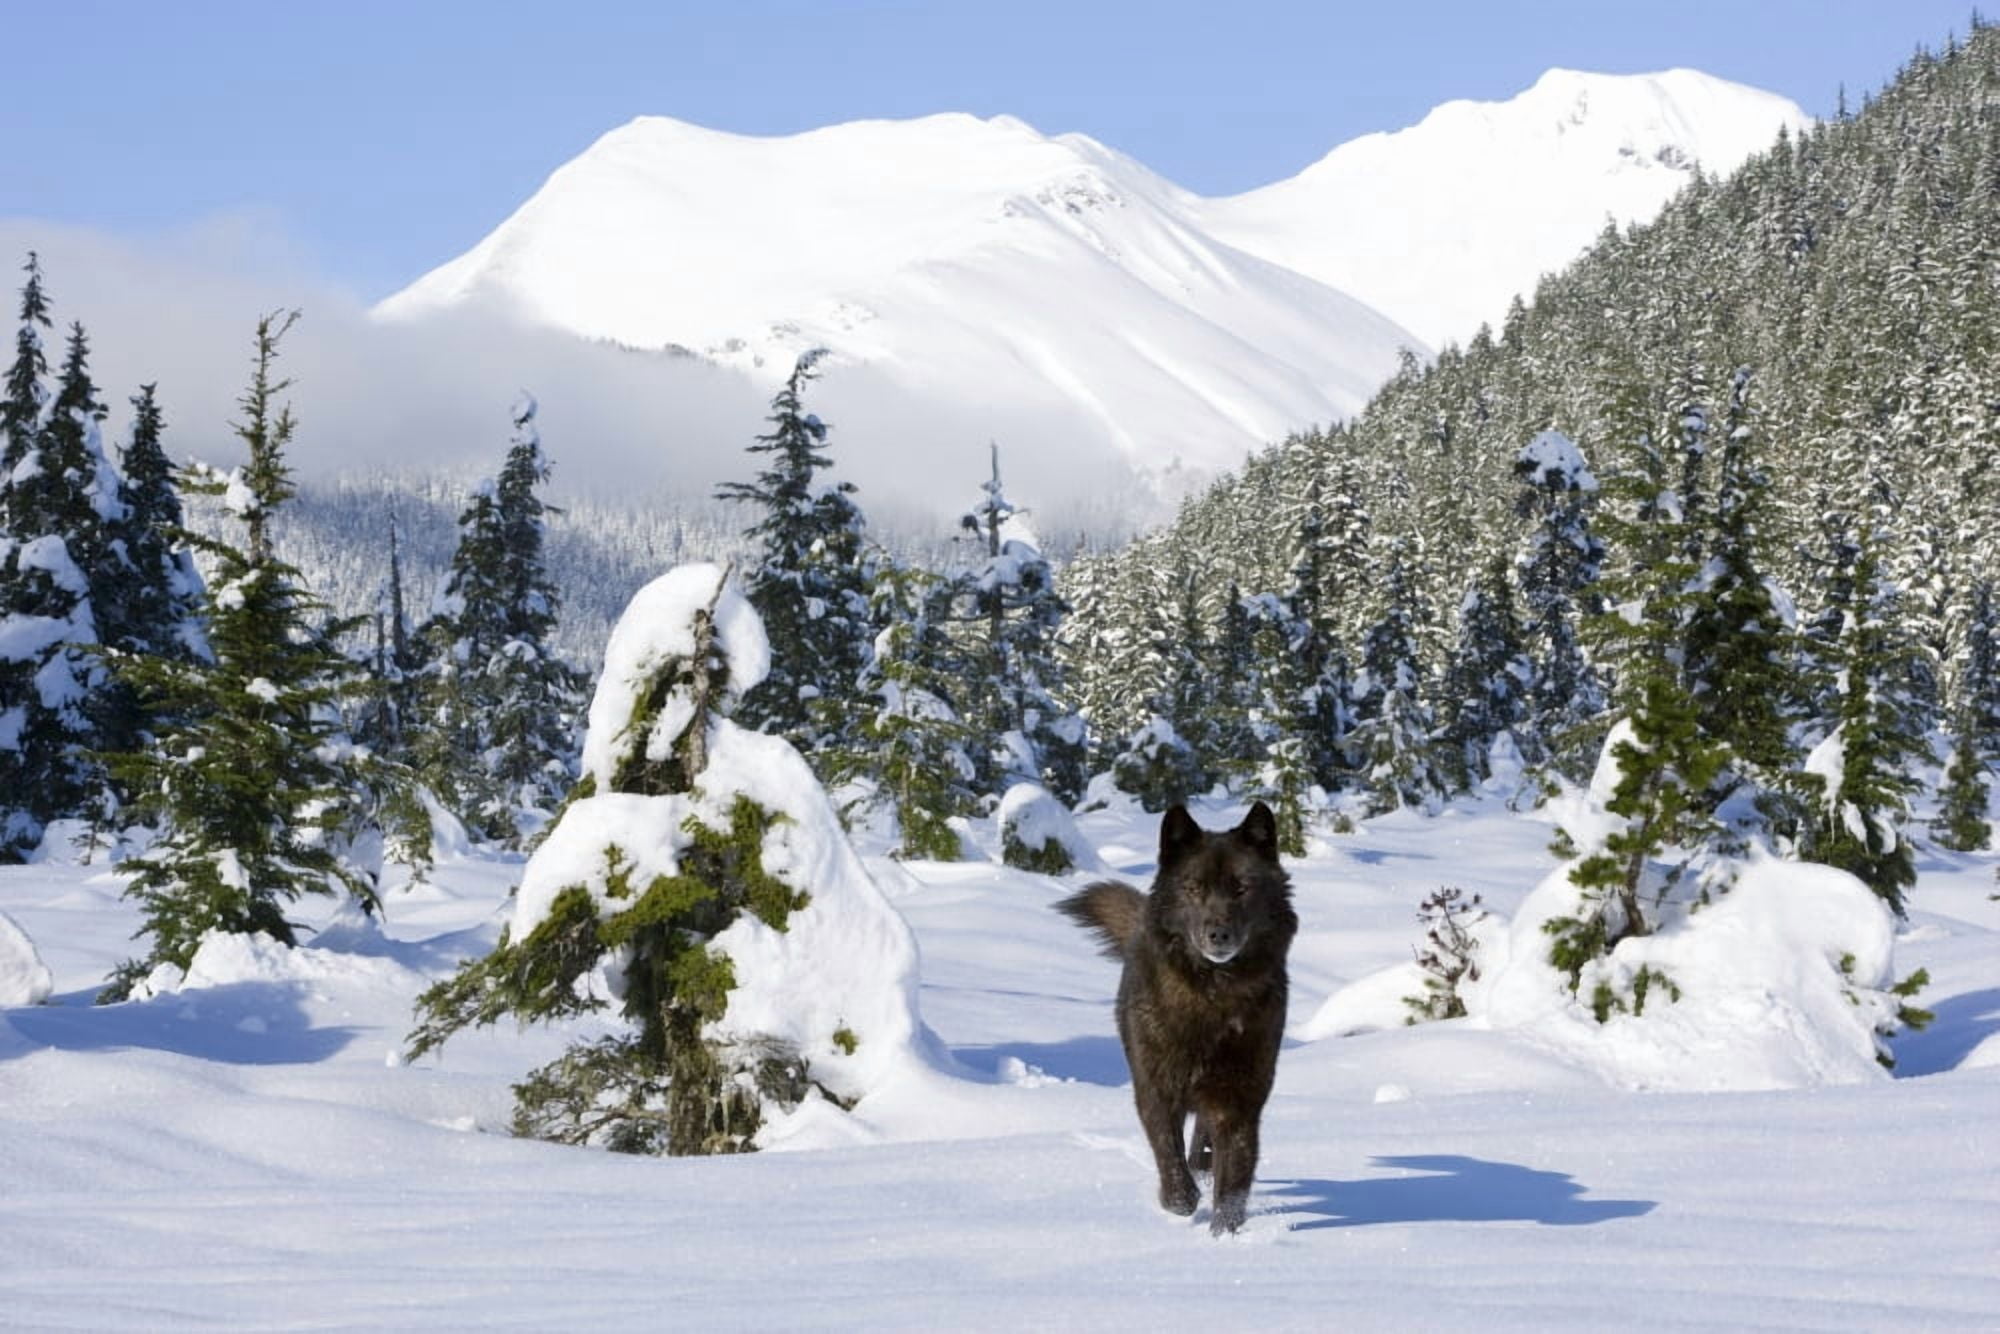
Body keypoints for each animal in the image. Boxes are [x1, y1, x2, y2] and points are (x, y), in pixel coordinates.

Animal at [1056, 802, 1297, 1235]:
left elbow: (1233, 1183)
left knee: (1203, 1144)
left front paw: (1225, 1236)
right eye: (1194, 888)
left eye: (1241, 888)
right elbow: (1168, 1153)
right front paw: (1181, 1201)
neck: (1212, 999)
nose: (1219, 934)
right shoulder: (1154, 1089)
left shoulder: (1240, 1101)